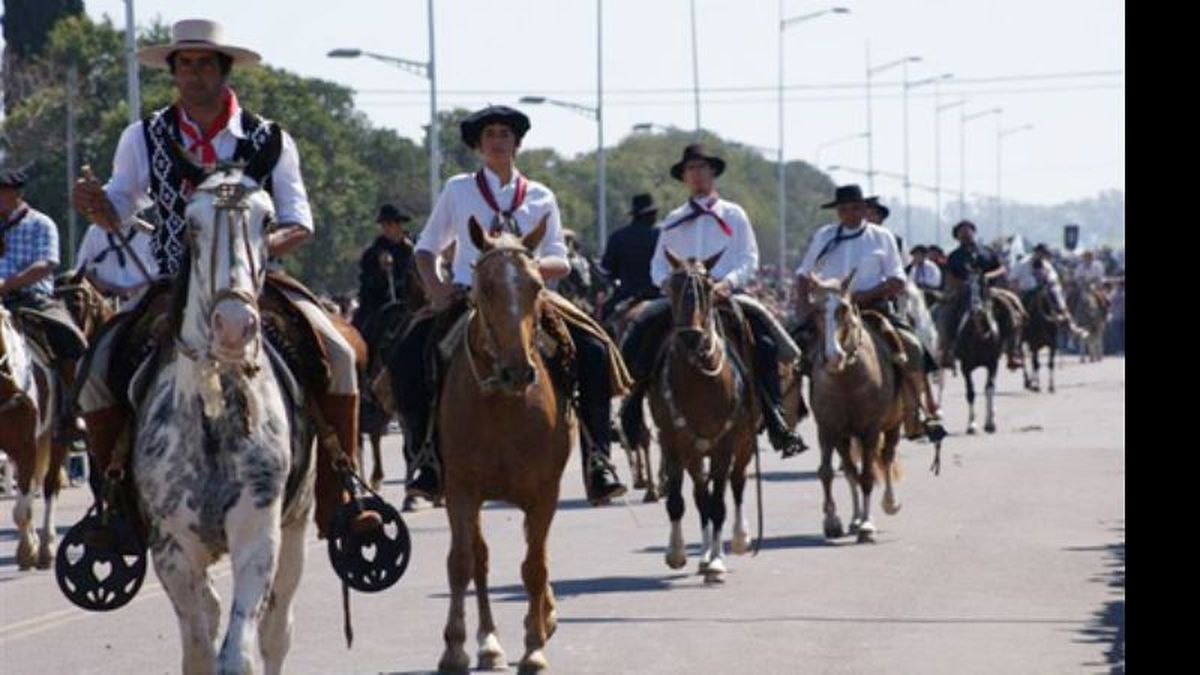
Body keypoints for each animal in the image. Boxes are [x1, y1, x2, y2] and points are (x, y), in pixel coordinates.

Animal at [132, 165, 314, 667]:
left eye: (267, 222)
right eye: (191, 226)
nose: (234, 327)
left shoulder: (258, 536)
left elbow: (238, 653)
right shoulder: (171, 550)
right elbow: (198, 648)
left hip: (296, 525)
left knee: (277, 629)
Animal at [436, 214, 571, 672]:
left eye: (536, 285)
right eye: (487, 287)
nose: (518, 371)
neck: (501, 404)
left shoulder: (545, 492)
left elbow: (535, 566)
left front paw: (534, 646)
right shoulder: (460, 489)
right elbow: (462, 562)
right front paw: (455, 646)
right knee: (479, 558)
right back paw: (489, 643)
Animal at [648, 249, 758, 581]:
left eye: (709, 289)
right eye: (671, 287)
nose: (690, 338)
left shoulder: (725, 444)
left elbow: (720, 501)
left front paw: (718, 563)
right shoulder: (672, 442)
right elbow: (679, 501)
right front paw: (676, 553)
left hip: (745, 443)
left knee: (736, 483)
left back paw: (737, 539)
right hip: (694, 452)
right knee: (700, 495)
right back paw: (705, 554)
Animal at [955, 270, 1003, 432]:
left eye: (983, 286)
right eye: (967, 288)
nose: (975, 310)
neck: (979, 337)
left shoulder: (993, 364)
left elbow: (989, 389)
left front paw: (990, 423)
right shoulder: (965, 366)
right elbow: (970, 392)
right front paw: (971, 424)